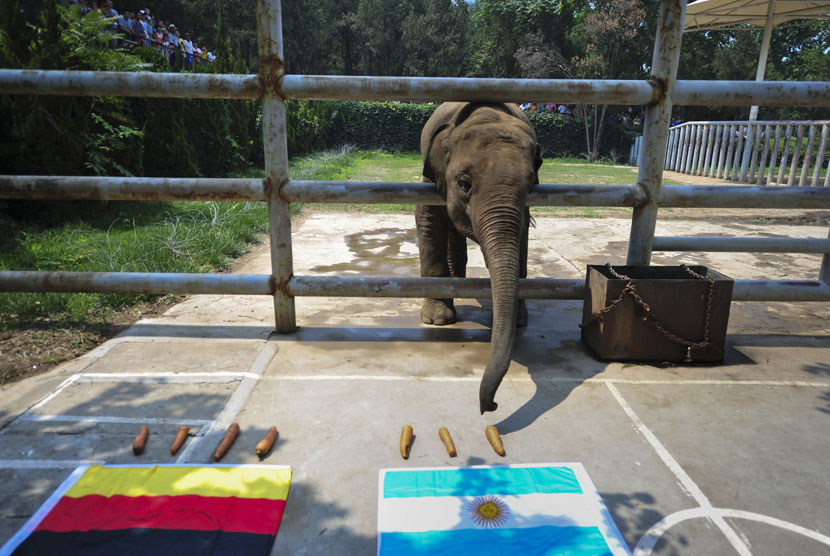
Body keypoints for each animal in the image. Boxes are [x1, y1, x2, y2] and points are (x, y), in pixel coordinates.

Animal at [416, 103, 544, 412]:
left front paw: (519, 321)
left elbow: (522, 234)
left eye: (530, 185)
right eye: (464, 183)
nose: (493, 405)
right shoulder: (432, 178)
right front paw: (437, 321)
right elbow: (428, 220)